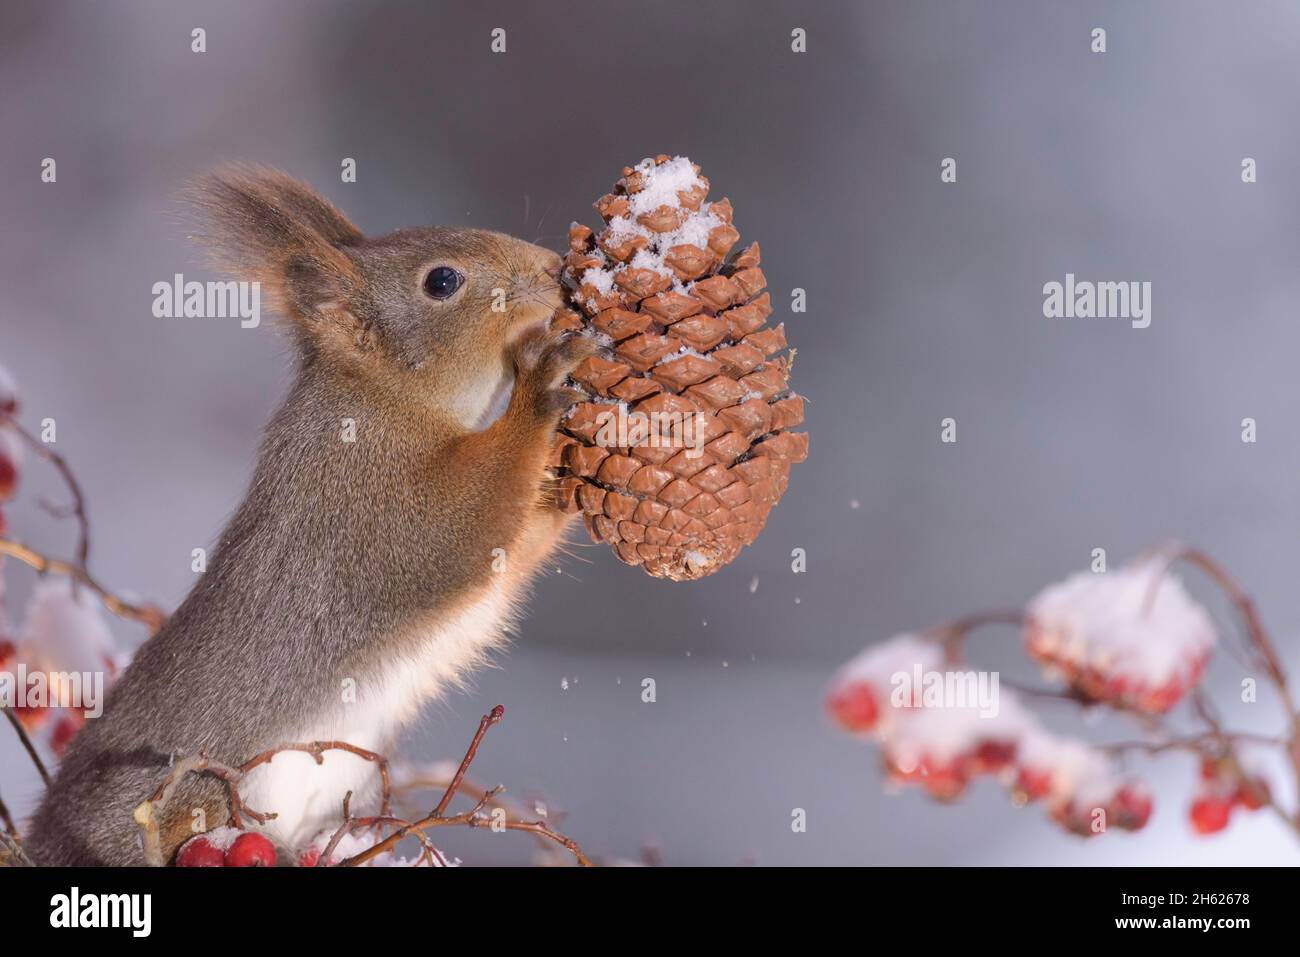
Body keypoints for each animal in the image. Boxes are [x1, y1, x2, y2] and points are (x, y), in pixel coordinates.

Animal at [24, 166, 595, 865]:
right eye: (442, 282)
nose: (554, 269)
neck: (379, 399)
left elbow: (515, 546)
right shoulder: (360, 506)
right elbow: (461, 527)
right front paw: (538, 388)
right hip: (173, 796)